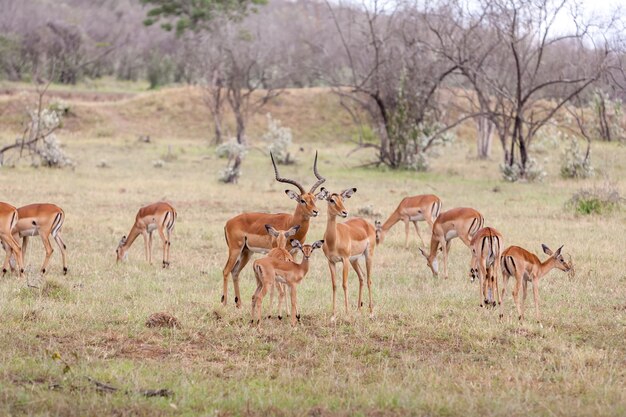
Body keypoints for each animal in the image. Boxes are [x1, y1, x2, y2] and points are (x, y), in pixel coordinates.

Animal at [221, 151, 326, 308]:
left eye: (315, 199)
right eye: (302, 200)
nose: (315, 211)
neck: (291, 222)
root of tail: (229, 222)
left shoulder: (294, 253)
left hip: (247, 252)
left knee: (235, 272)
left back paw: (239, 304)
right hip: (235, 249)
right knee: (226, 270)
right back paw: (224, 303)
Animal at [322, 188, 376, 318]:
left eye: (343, 199)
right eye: (331, 200)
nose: (344, 212)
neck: (333, 240)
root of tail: (366, 223)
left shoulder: (345, 260)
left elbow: (344, 284)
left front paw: (346, 313)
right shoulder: (331, 262)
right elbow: (334, 285)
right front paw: (333, 315)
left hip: (368, 255)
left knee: (369, 280)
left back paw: (371, 313)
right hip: (354, 260)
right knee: (361, 277)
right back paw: (358, 310)